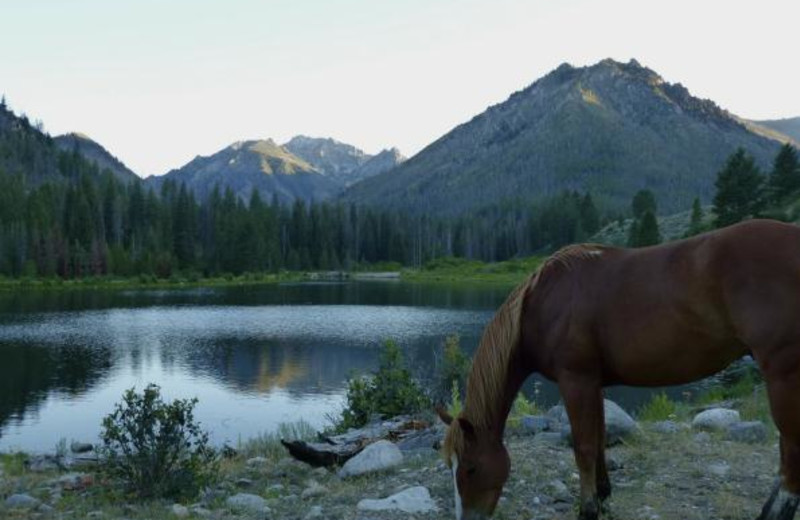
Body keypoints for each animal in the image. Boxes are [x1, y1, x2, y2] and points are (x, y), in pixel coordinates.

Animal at [434, 219, 800, 520]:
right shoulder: (593, 383)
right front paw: (603, 496)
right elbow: (598, 441)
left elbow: (583, 447)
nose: (467, 519)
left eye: (470, 468)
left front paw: (588, 510)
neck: (541, 304)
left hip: (783, 376)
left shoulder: (576, 380)